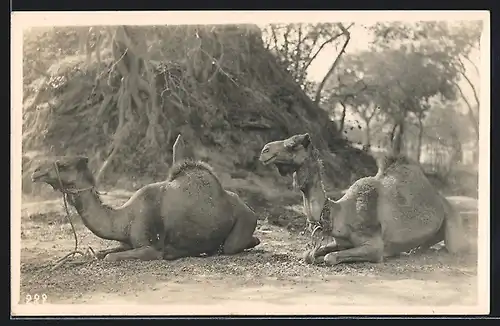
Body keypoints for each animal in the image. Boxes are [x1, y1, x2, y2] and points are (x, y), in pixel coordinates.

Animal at [30, 134, 262, 262]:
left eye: (62, 165)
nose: (35, 171)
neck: (124, 218)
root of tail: (248, 208)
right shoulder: (127, 242)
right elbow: (102, 252)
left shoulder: (151, 248)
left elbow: (110, 257)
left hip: (246, 220)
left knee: (237, 244)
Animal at [258, 134, 464, 266]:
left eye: (293, 145)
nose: (264, 150)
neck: (340, 214)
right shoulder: (341, 241)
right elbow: (309, 253)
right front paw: (313, 255)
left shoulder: (375, 247)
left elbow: (330, 257)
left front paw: (324, 258)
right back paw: (416, 250)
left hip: (452, 224)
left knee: (455, 246)